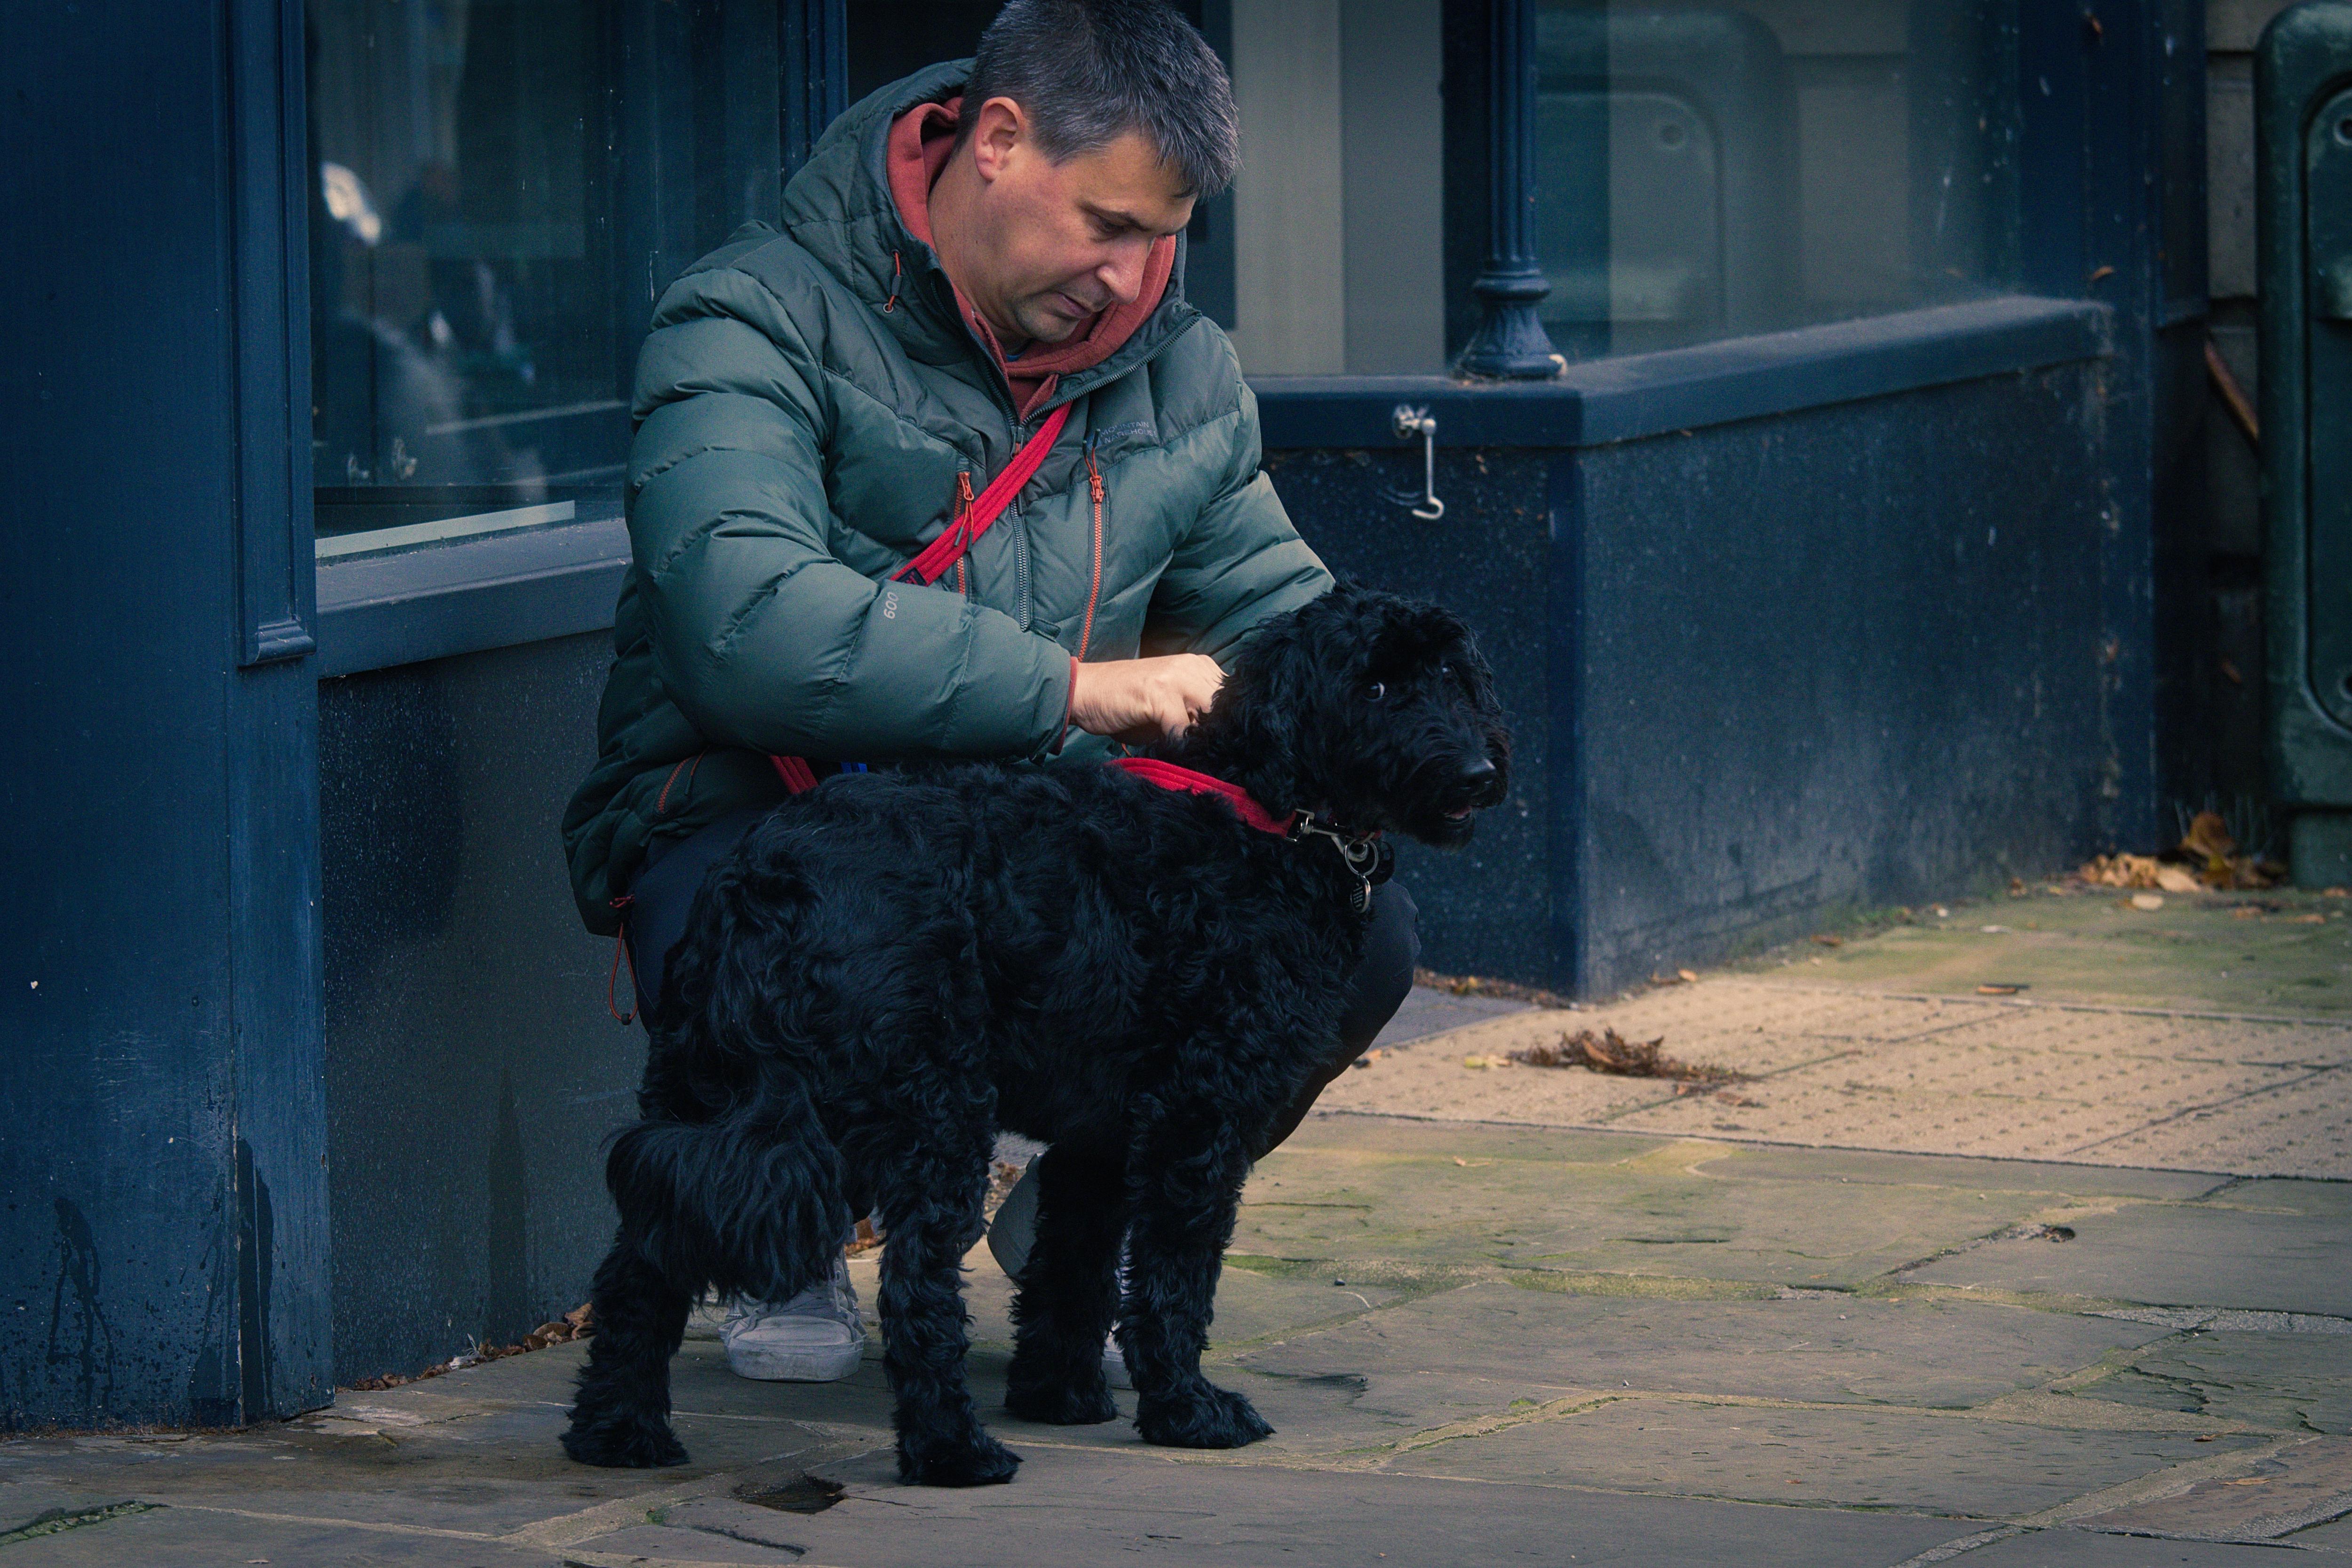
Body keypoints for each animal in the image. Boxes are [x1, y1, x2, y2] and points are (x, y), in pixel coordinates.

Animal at [567, 583, 1515, 1495]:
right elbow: (1174, 1279)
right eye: (1376, 686)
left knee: (638, 1265)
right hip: (933, 1117)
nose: (1478, 771)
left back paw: (619, 1431)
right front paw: (1187, 1408)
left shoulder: (1103, 1135)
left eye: (1452, 677)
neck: (1266, 813)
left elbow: (1074, 1265)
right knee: (913, 1289)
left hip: (700, 1092)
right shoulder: (1197, 1118)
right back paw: (952, 1451)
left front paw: (1058, 1394)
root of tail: (768, 881)